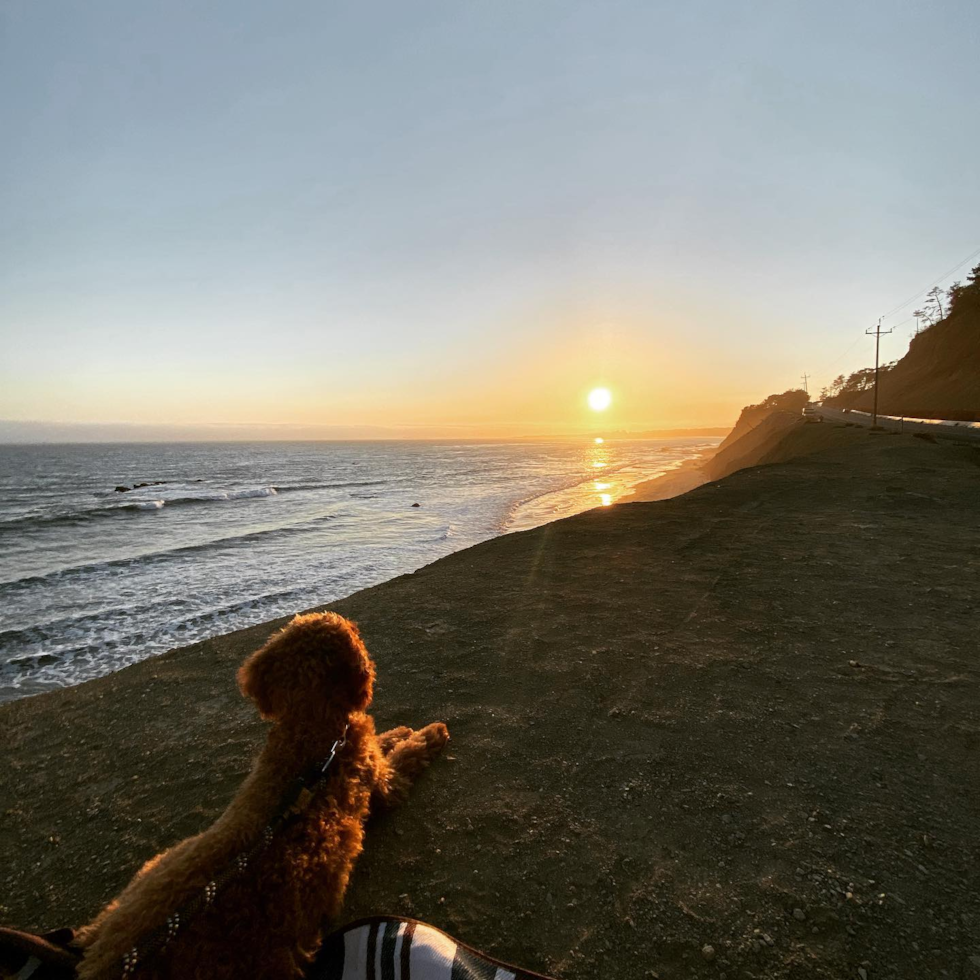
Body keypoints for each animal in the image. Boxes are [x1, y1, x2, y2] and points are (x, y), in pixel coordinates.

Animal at [74, 608, 450, 976]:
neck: (309, 732)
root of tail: (103, 959)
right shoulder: (382, 779)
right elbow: (405, 753)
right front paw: (429, 732)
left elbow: (386, 739)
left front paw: (399, 731)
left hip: (147, 875)